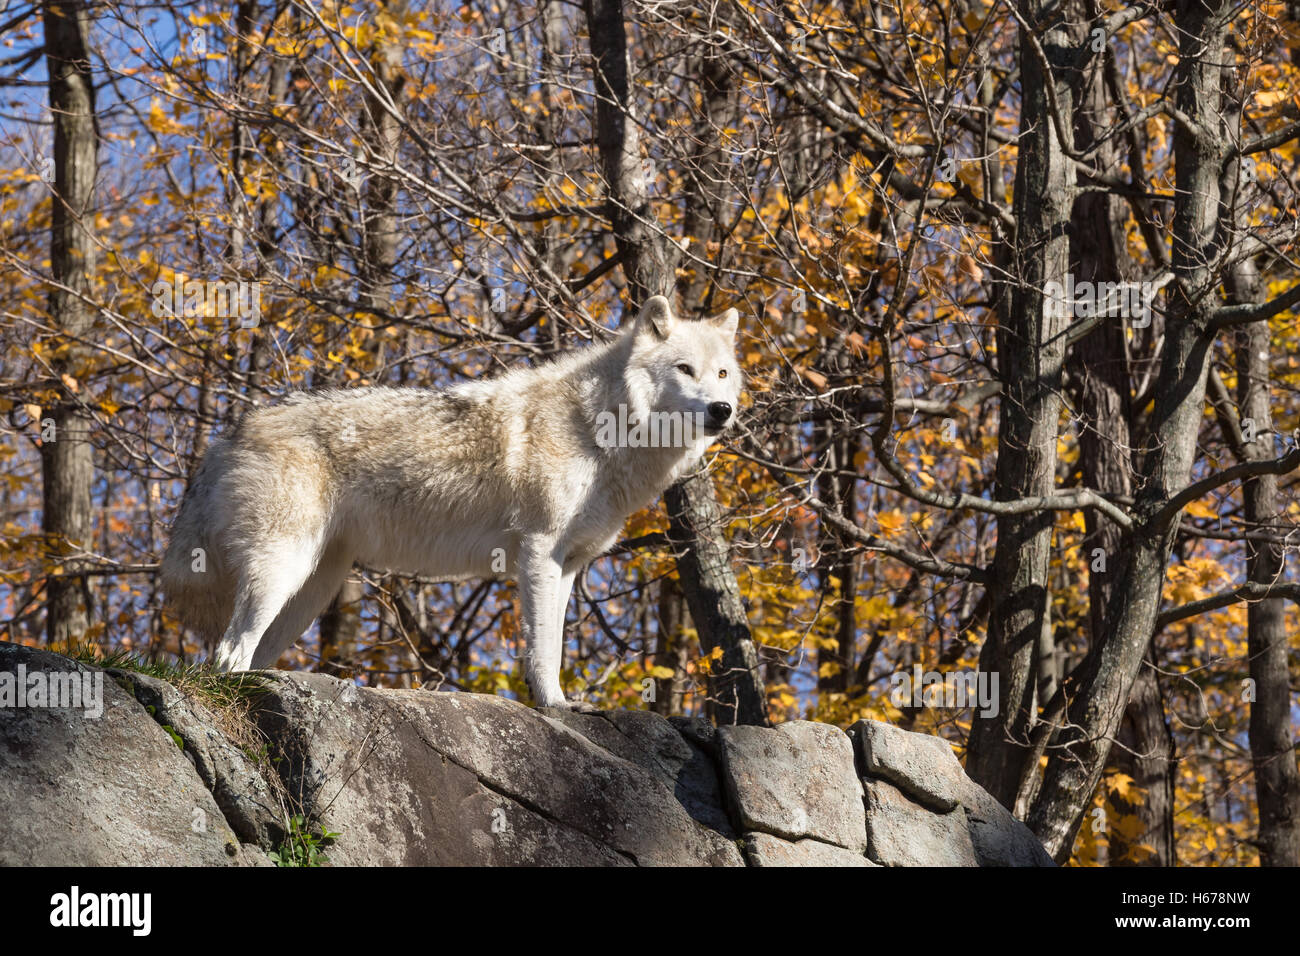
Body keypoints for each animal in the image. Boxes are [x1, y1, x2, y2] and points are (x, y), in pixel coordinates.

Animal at [159, 299, 743, 712]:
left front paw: (562, 703)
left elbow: (554, 642)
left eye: (721, 374)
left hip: (311, 590)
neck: (599, 427)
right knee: (226, 654)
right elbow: (542, 648)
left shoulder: (569, 565)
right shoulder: (537, 552)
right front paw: (554, 705)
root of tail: (231, 432)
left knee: (244, 653)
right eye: (685, 369)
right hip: (283, 568)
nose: (722, 409)